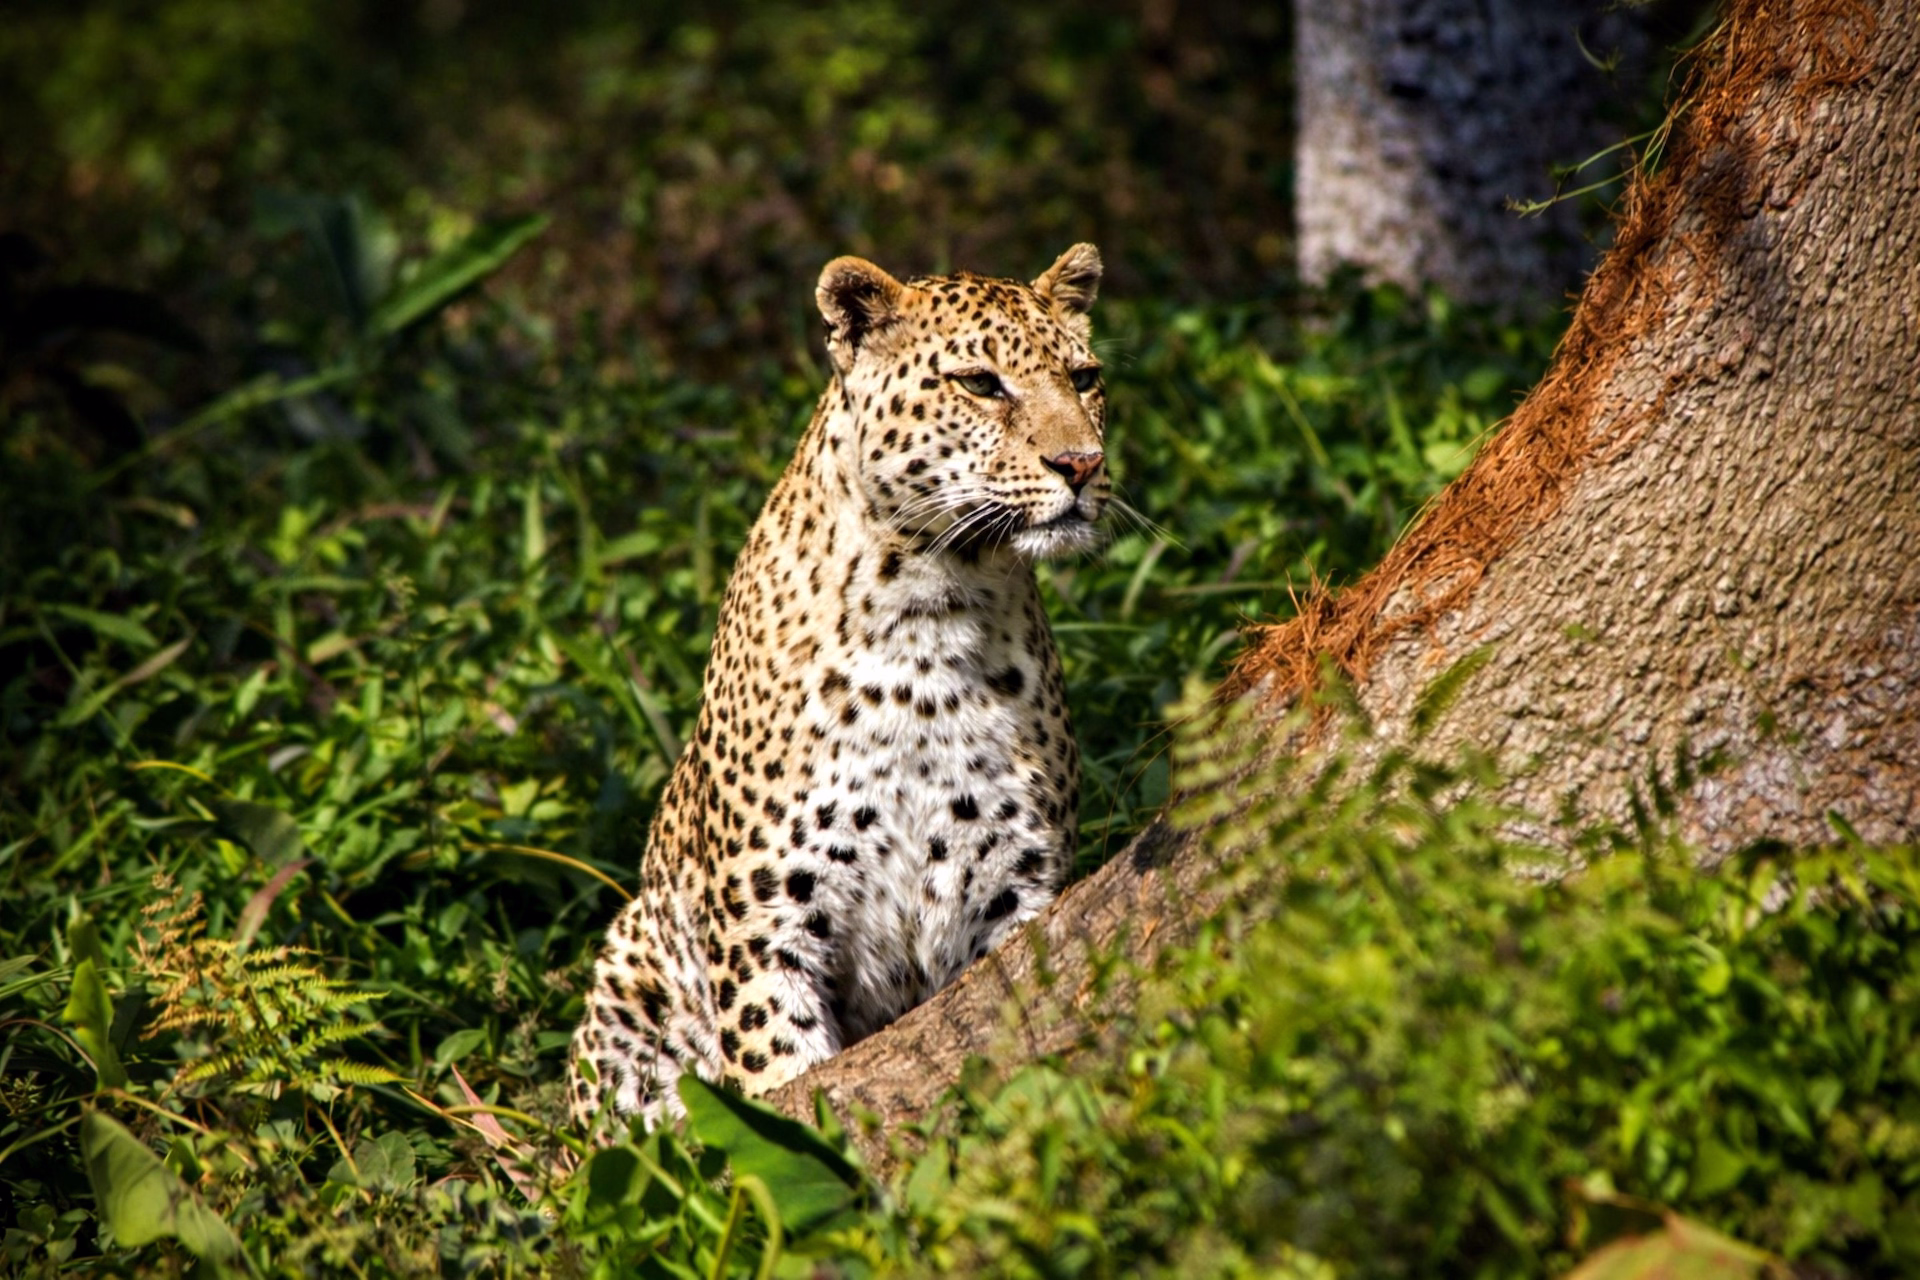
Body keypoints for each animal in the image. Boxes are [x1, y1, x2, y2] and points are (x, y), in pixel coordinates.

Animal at [569, 244, 1111, 1127]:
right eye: (981, 383)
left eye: (1086, 376)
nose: (1083, 464)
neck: (934, 613)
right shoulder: (768, 926)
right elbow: (779, 1085)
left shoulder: (1016, 890)